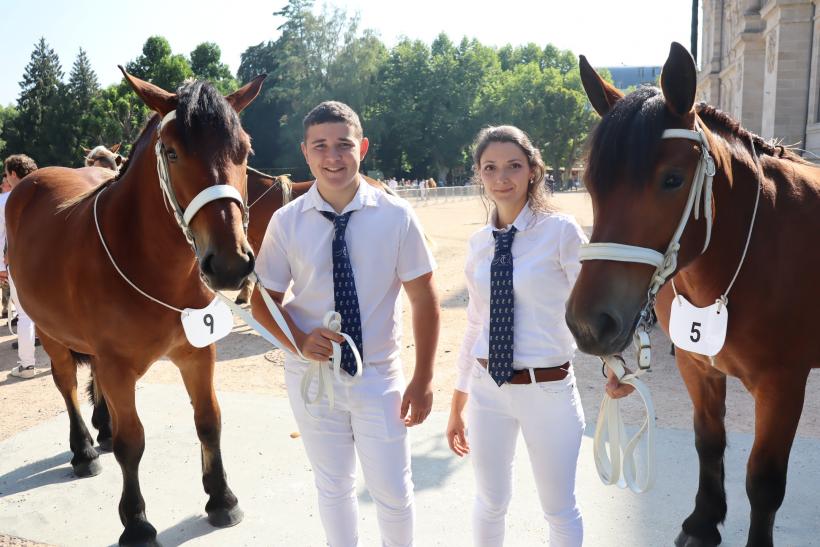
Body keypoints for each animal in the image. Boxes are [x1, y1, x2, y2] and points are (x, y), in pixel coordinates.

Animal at [7, 68, 270, 547]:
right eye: (173, 152)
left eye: (244, 150)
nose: (230, 264)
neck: (150, 264)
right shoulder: (117, 365)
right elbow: (134, 444)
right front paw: (136, 522)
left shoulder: (197, 353)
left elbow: (209, 420)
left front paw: (221, 498)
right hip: (50, 332)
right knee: (65, 383)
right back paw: (84, 450)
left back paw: (103, 427)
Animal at [568, 44, 820, 547]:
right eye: (589, 181)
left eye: (672, 179)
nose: (589, 322)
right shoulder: (696, 366)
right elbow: (709, 443)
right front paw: (703, 522)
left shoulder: (783, 384)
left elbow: (764, 480)